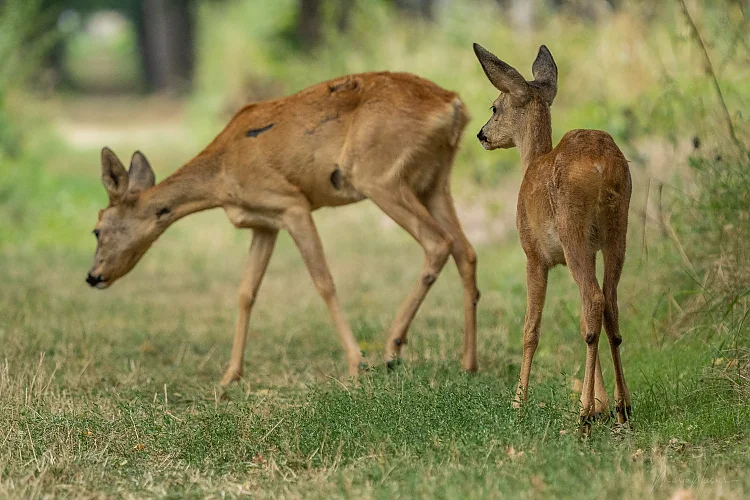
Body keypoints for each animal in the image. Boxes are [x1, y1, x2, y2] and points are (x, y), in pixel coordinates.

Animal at [86, 72, 479, 386]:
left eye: (97, 228)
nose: (93, 276)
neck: (222, 174)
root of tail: (454, 104)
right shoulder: (264, 222)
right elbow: (246, 292)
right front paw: (230, 376)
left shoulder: (292, 205)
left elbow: (324, 281)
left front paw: (356, 364)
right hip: (434, 180)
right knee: (467, 251)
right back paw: (468, 363)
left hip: (379, 176)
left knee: (438, 242)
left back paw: (392, 348)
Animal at [472, 43, 632, 425]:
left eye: (495, 106)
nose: (481, 134)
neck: (532, 161)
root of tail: (601, 167)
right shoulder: (591, 250)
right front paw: (601, 402)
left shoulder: (533, 254)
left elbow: (531, 328)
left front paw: (518, 403)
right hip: (616, 229)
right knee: (607, 303)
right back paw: (621, 406)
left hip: (572, 228)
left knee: (594, 300)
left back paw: (584, 415)